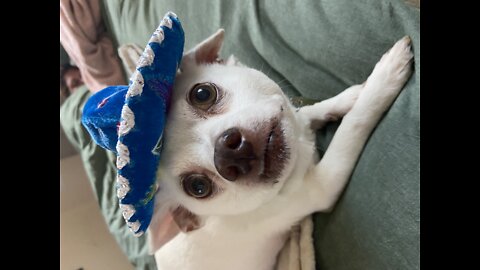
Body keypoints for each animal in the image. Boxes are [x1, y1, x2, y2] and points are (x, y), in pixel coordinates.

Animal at [147, 30, 412, 270]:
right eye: (198, 187)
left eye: (202, 94)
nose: (226, 153)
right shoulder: (324, 184)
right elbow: (353, 124)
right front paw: (384, 78)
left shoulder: (298, 120)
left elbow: (311, 111)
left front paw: (350, 95)